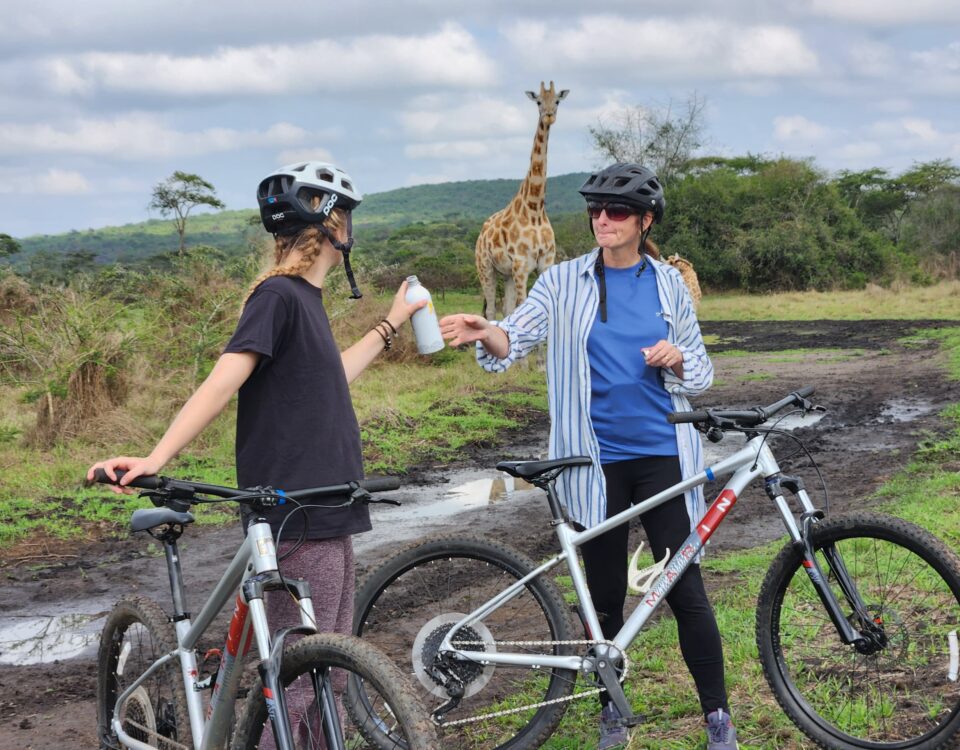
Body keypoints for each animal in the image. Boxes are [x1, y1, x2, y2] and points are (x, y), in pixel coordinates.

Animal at [476, 81, 568, 318]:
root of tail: (481, 233)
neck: (535, 208)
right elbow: (523, 307)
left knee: (507, 309)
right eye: (538, 102)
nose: (549, 116)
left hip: (506, 273)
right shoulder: (521, 265)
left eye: (557, 101)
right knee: (491, 310)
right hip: (486, 268)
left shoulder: (545, 262)